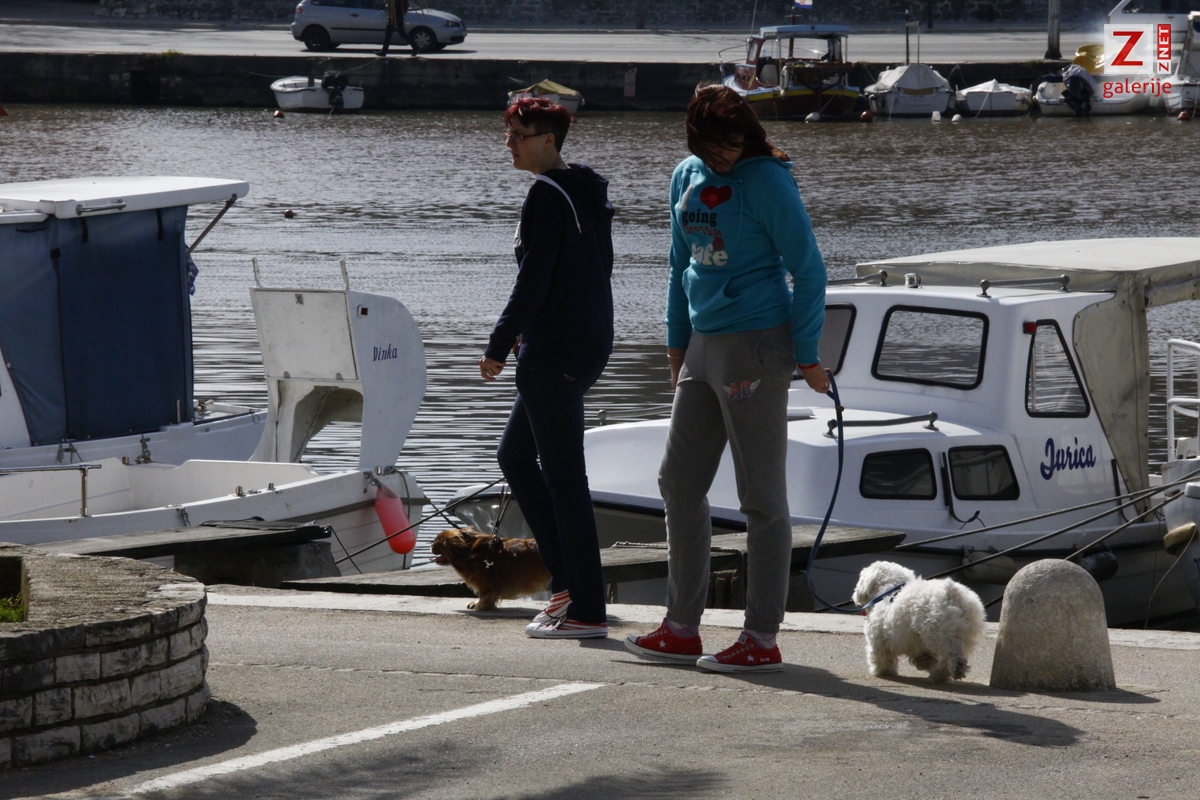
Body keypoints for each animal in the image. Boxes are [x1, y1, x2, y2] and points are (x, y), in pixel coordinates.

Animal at [852, 561, 986, 684]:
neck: (888, 591)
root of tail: (952, 594)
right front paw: (924, 661)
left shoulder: (879, 639)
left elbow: (881, 656)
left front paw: (882, 671)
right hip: (966, 635)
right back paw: (939, 675)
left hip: (939, 633)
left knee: (952, 655)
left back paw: (949, 672)